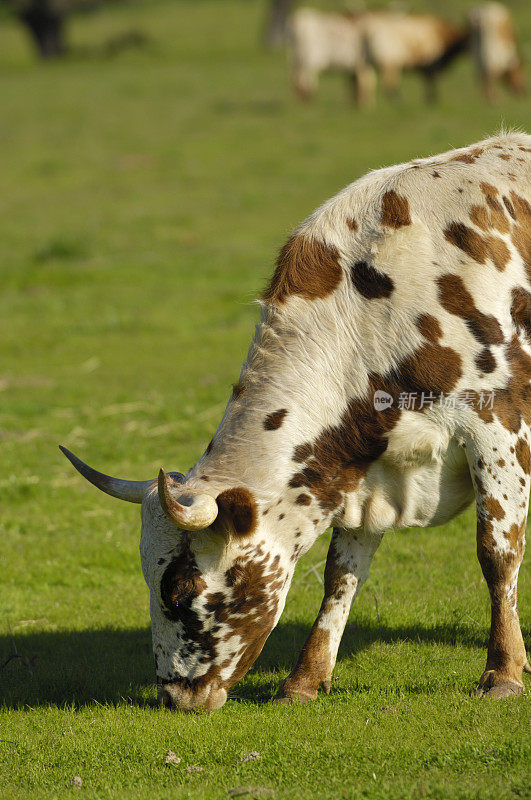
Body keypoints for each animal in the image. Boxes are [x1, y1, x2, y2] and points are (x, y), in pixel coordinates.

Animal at [60, 133, 528, 712]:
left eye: (180, 588)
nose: (173, 696)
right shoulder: (359, 466)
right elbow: (341, 574)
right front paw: (306, 678)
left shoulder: (497, 425)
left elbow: (497, 552)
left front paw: (504, 671)